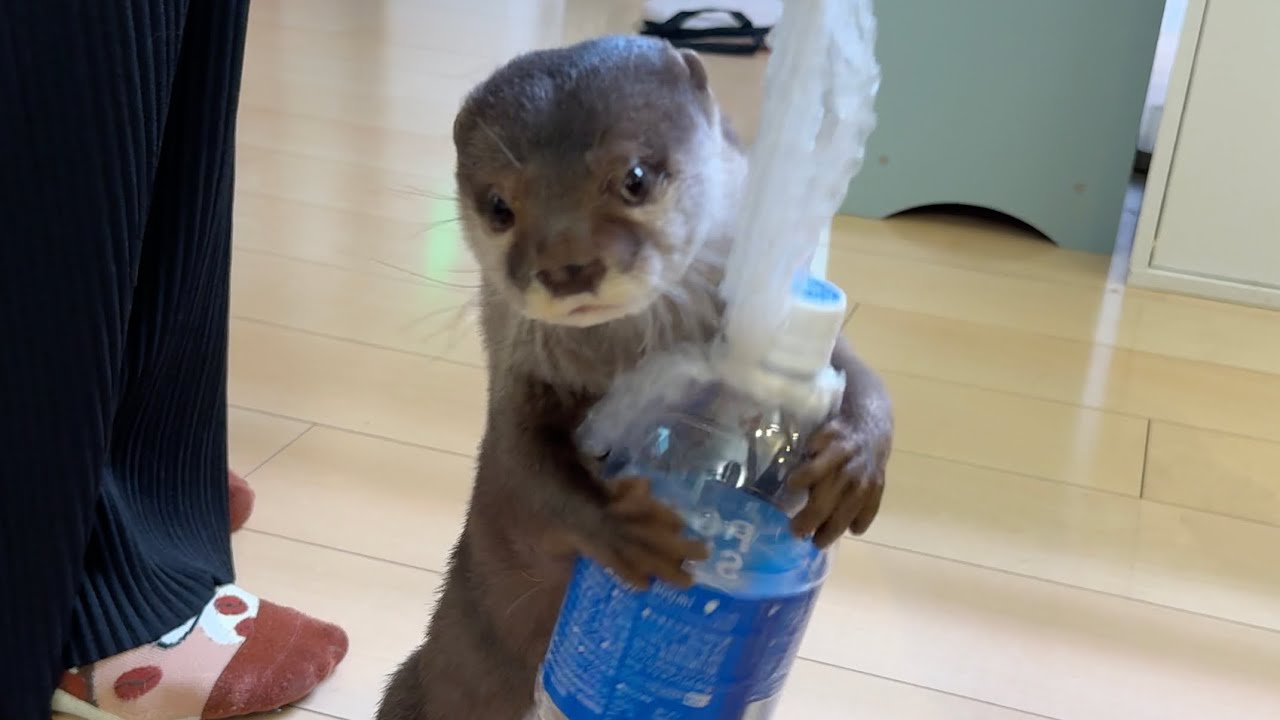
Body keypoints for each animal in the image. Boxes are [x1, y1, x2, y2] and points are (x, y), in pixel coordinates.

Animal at [377, 35, 892, 720]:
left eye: (635, 179)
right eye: (499, 206)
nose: (567, 266)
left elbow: (862, 375)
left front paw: (853, 462)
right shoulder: (516, 383)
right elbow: (527, 473)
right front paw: (626, 526)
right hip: (409, 686)